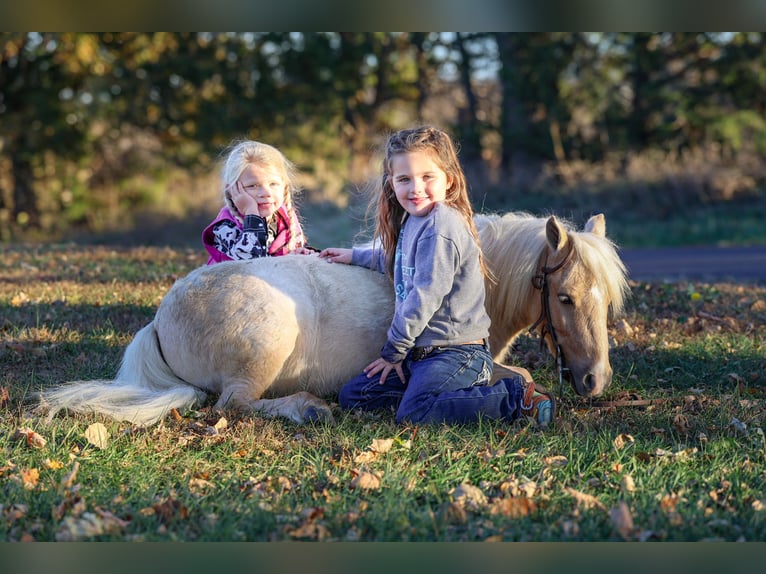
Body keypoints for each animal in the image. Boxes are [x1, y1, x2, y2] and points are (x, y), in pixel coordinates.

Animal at [35, 211, 630, 426]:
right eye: (567, 299)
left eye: (606, 302)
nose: (597, 380)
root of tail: (160, 319)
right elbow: (521, 376)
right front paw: (524, 397)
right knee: (235, 403)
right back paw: (306, 408)